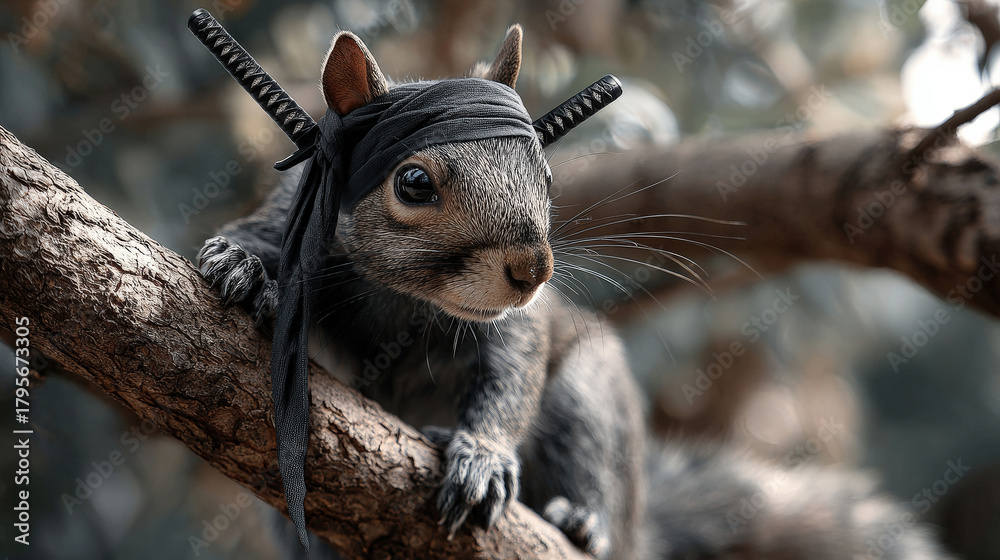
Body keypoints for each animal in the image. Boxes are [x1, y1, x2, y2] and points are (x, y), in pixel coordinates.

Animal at [198, 25, 955, 560]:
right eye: (412, 184)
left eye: (547, 176)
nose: (533, 270)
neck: (408, 299)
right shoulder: (292, 223)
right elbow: (254, 242)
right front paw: (240, 266)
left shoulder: (516, 328)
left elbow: (512, 380)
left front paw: (483, 457)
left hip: (588, 403)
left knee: (586, 458)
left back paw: (585, 521)